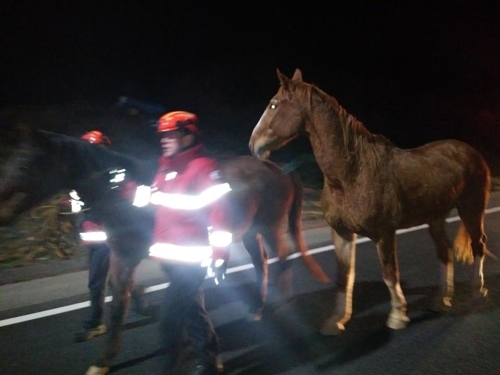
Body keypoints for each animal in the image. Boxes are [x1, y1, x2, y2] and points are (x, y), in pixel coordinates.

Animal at [0, 125, 328, 374]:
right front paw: (106, 358)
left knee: (282, 259)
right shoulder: (126, 257)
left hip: (271, 226)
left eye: (26, 165)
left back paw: (279, 303)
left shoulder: (138, 256)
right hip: (249, 231)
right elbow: (124, 303)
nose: (3, 214)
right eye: (6, 162)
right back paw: (257, 308)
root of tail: (277, 167)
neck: (123, 193)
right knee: (262, 262)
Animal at [250, 68, 492, 338]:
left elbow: (389, 274)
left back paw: (476, 289)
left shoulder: (384, 234)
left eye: (273, 104)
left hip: (471, 208)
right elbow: (343, 277)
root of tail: (470, 151)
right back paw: (441, 299)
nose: (253, 144)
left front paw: (398, 316)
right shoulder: (342, 234)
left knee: (478, 244)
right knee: (445, 250)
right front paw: (336, 320)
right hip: (435, 217)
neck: (351, 173)